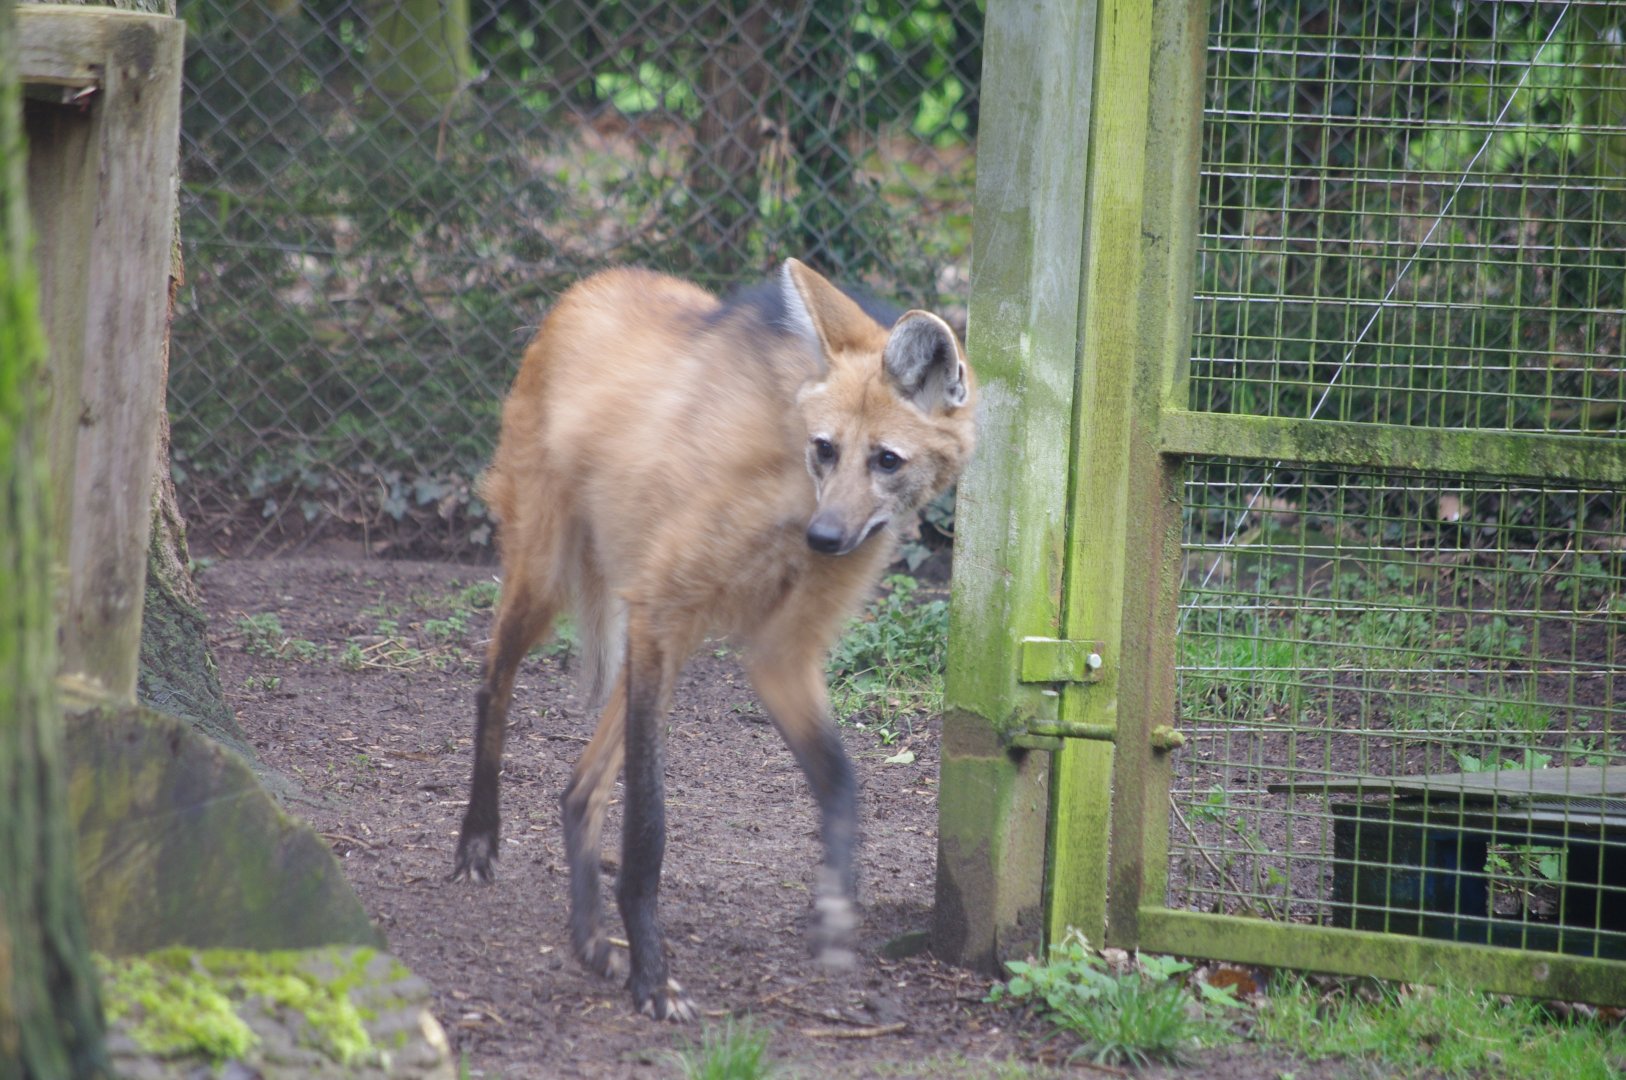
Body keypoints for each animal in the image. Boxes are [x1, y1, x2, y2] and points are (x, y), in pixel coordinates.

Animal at [452, 258, 976, 1021]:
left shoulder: (779, 654)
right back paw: (478, 842)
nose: (826, 539)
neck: (788, 492)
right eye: (825, 449)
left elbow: (842, 780)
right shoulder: (661, 613)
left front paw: (834, 912)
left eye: (886, 460)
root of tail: (588, 286)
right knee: (493, 680)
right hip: (553, 577)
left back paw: (590, 943)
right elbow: (649, 824)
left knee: (579, 788)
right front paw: (653, 975)